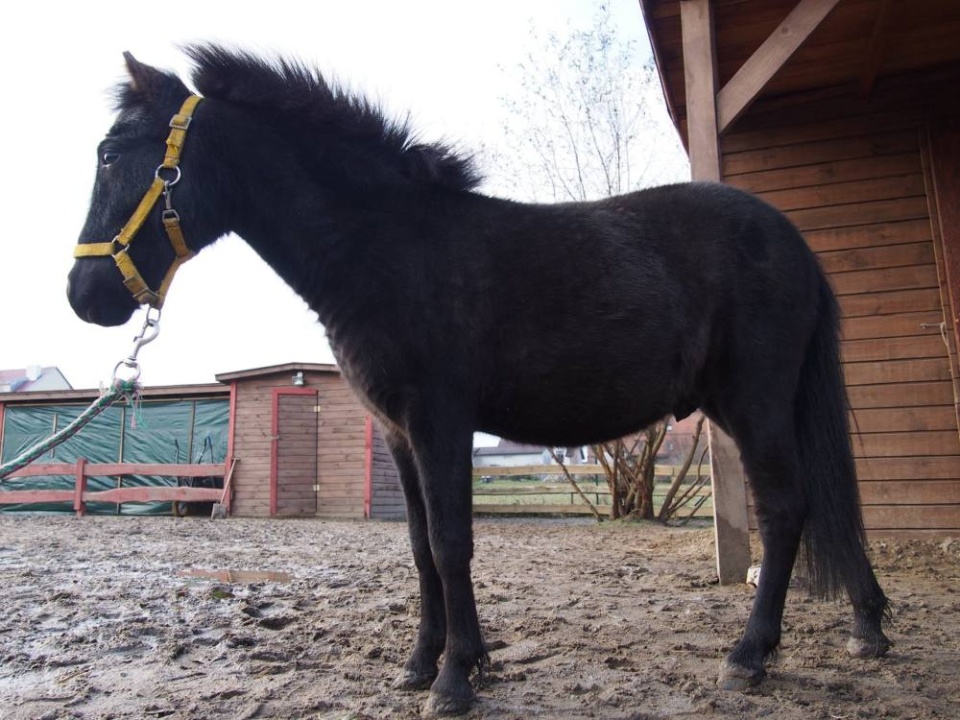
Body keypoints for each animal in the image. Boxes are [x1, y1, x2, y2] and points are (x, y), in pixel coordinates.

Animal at [67, 47, 892, 716]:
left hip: (755, 403)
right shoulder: (399, 434)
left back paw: (749, 657)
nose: (85, 295)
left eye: (113, 153)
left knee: (787, 509)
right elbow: (419, 547)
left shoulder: (440, 421)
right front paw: (421, 663)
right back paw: (867, 625)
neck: (387, 246)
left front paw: (456, 677)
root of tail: (792, 241)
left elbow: (452, 542)